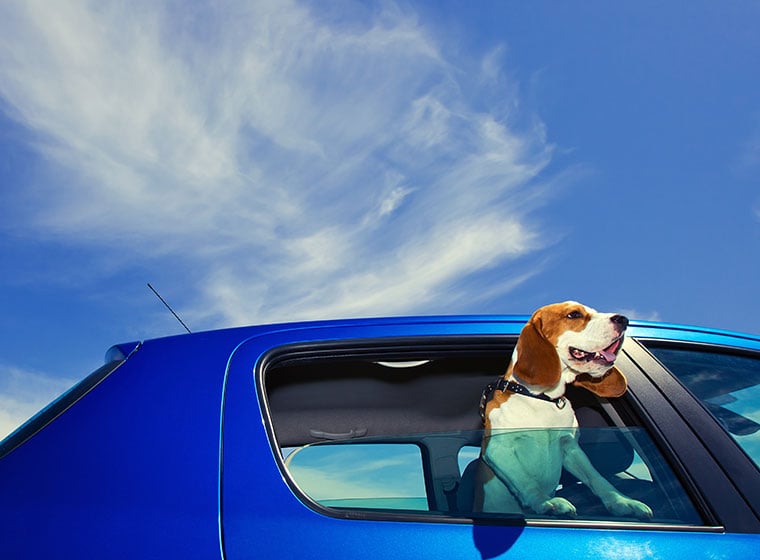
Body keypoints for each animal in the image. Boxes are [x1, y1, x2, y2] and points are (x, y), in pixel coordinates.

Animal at [476, 304, 652, 520]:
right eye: (574, 314)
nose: (624, 320)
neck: (542, 399)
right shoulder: (497, 449)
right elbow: (526, 481)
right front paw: (545, 502)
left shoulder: (570, 448)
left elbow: (597, 478)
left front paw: (622, 501)